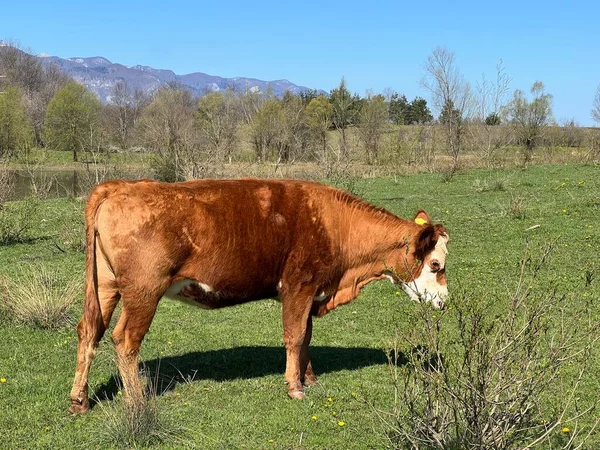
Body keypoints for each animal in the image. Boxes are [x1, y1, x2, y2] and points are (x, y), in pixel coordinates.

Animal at [68, 178, 448, 414]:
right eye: (435, 264)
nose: (445, 302)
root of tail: (121, 186)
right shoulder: (299, 286)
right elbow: (294, 335)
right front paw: (294, 387)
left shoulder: (310, 293)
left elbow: (306, 336)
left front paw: (309, 378)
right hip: (144, 291)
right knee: (124, 340)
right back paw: (138, 402)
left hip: (105, 286)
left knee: (89, 332)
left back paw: (79, 400)